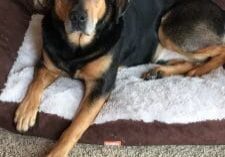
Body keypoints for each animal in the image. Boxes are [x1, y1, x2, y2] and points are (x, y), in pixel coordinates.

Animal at [14, 0, 225, 156]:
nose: (77, 18)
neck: (78, 46)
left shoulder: (101, 86)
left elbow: (76, 126)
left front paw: (55, 152)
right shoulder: (48, 65)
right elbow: (35, 82)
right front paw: (26, 111)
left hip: (170, 28)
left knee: (219, 50)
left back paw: (201, 70)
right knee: (192, 61)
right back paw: (161, 72)